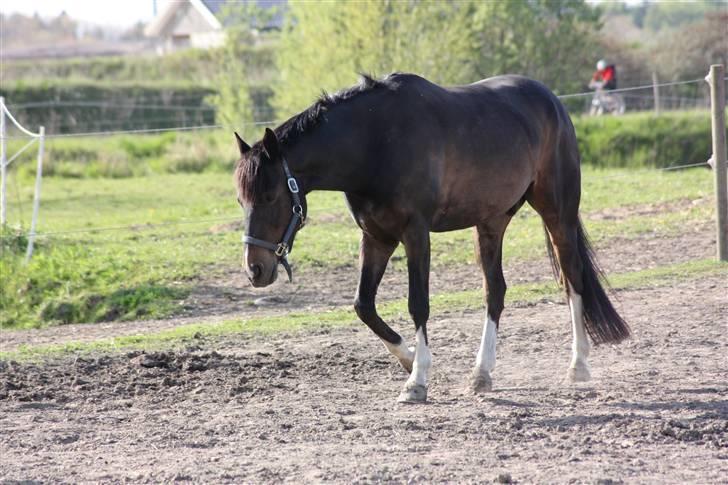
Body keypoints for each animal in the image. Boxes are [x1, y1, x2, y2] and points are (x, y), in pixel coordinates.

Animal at [235, 72, 632, 402]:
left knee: (573, 280)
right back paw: (481, 373)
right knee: (495, 291)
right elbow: (364, 306)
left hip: (557, 214)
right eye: (241, 199)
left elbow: (418, 304)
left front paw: (417, 380)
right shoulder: (376, 238)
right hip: (491, 222)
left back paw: (578, 366)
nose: (255, 269)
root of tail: (552, 101)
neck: (375, 142)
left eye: (270, 196)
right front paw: (409, 360)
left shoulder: (415, 233)